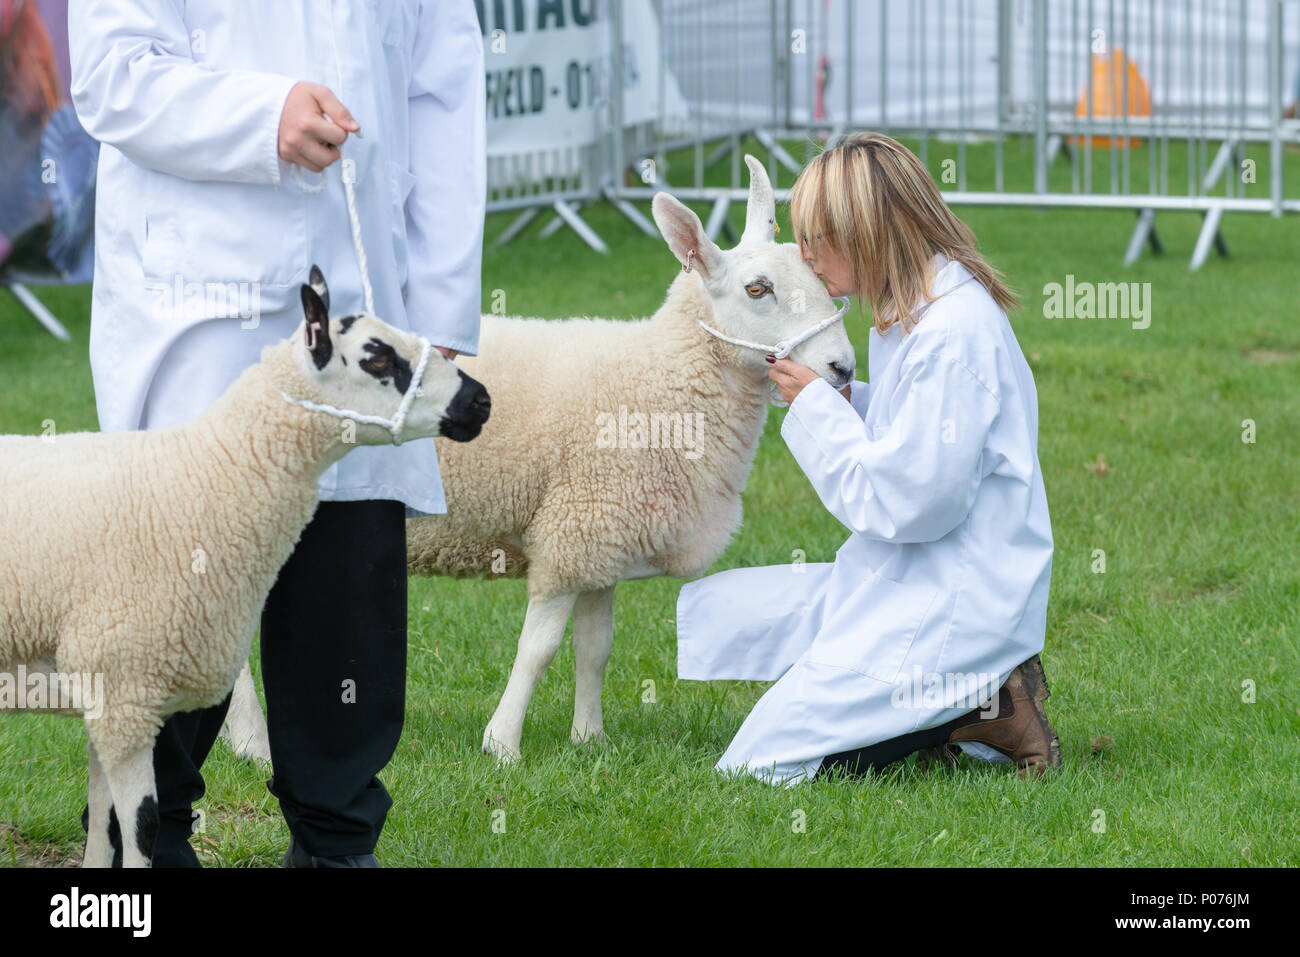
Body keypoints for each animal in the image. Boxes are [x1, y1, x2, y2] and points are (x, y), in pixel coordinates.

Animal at [403, 155, 852, 764]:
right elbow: (539, 650)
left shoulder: (604, 544)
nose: (843, 368)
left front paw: (589, 740)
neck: (658, 377)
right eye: (758, 289)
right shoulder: (574, 533)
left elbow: (596, 648)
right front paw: (503, 746)